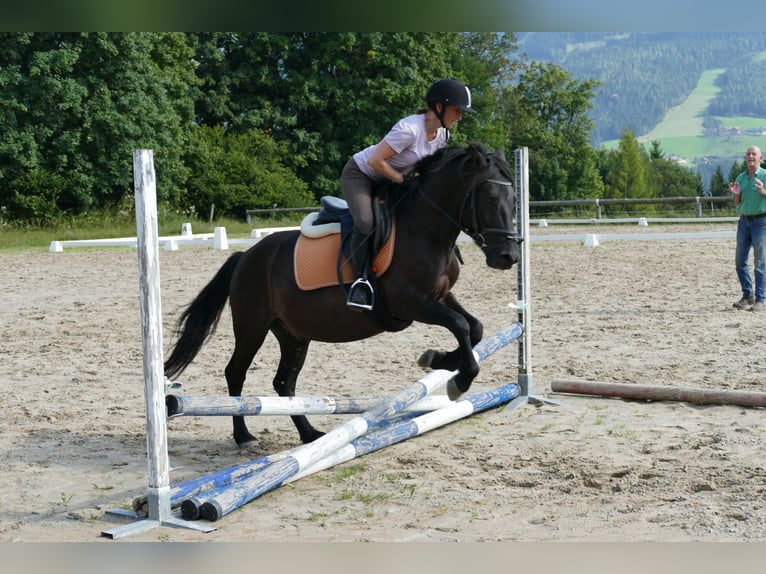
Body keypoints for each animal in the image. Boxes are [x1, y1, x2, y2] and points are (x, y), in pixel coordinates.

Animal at [164, 143, 520, 450]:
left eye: (515, 198)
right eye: (490, 197)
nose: (508, 257)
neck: (425, 232)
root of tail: (245, 256)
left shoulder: (441, 296)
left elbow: (474, 328)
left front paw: (440, 360)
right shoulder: (410, 301)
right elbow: (460, 326)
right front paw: (457, 378)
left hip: (293, 334)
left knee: (284, 383)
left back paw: (310, 434)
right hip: (252, 326)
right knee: (236, 373)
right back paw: (244, 436)